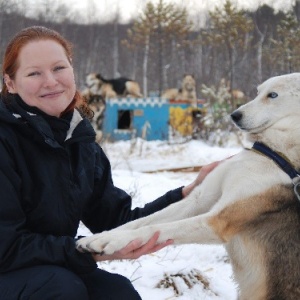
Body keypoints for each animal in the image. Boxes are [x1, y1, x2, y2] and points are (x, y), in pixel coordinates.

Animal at [78, 73, 300, 300]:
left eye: (272, 95)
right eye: (258, 92)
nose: (234, 115)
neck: (272, 154)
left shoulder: (216, 220)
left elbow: (153, 227)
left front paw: (109, 241)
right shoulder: (198, 199)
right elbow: (138, 222)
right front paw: (101, 237)